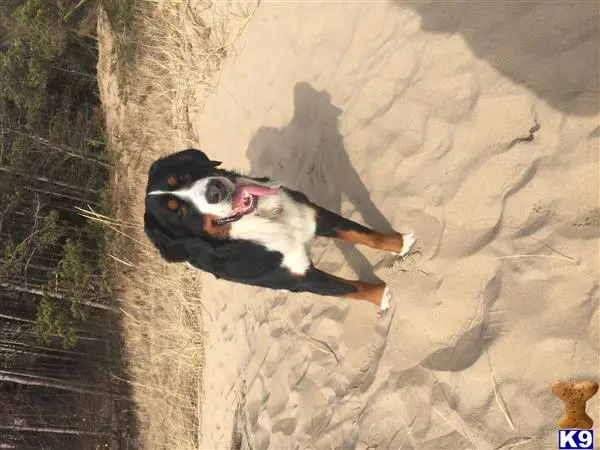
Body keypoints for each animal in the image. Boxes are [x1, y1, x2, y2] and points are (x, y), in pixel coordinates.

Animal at [144, 149, 418, 312]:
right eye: (180, 212)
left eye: (185, 174)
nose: (215, 190)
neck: (268, 221)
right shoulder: (299, 276)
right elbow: (350, 288)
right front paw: (382, 295)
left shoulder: (311, 215)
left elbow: (361, 233)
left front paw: (400, 243)